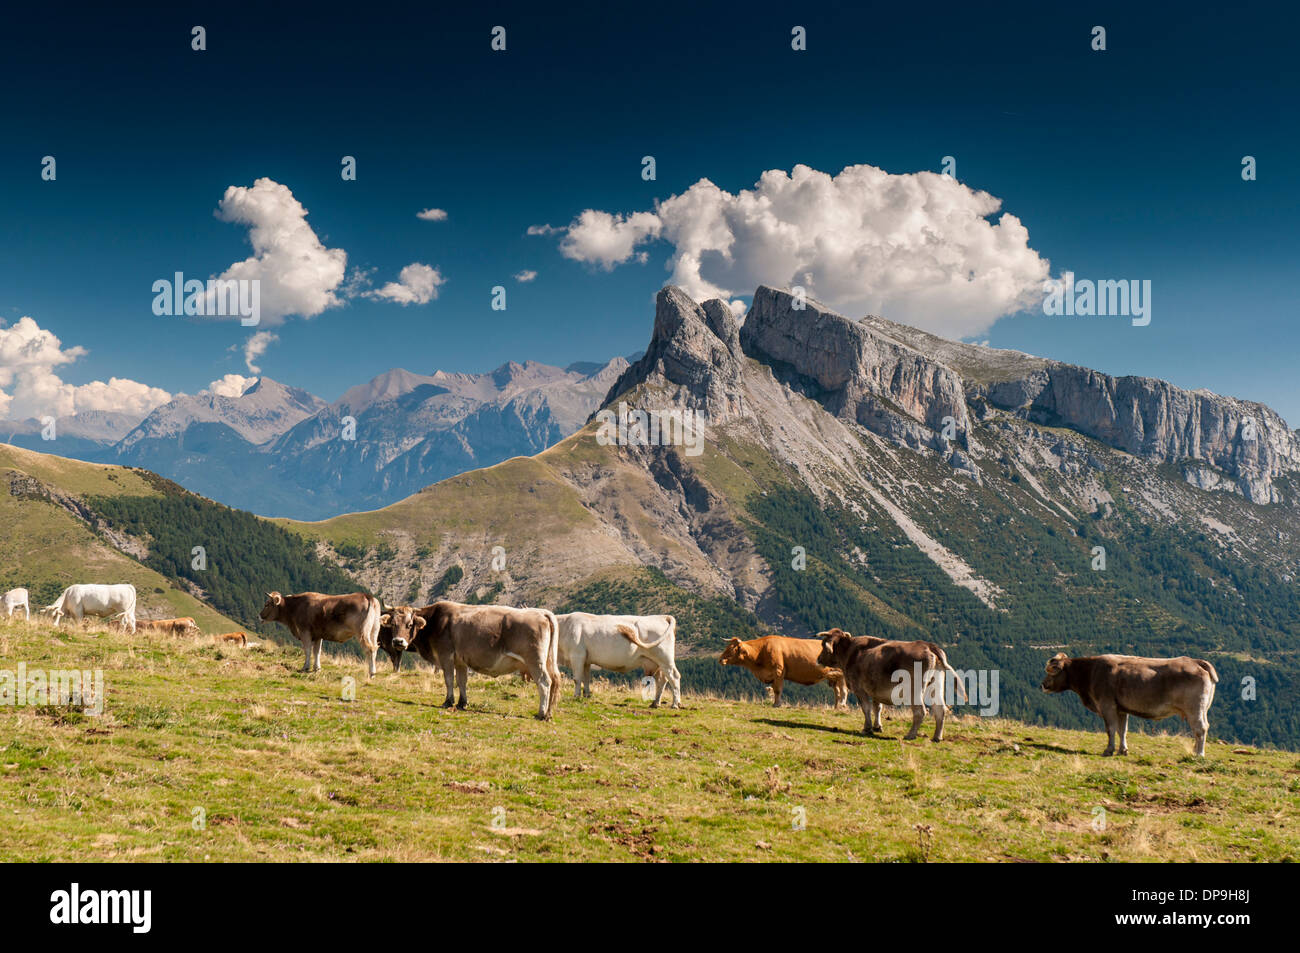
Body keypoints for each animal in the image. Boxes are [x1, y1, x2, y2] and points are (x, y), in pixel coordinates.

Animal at [416, 598, 559, 717]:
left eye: (410, 623)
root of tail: (542, 612)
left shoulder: (446, 655)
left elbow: (449, 679)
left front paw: (448, 702)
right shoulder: (460, 661)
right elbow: (461, 680)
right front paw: (462, 703)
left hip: (535, 661)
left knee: (544, 682)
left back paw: (541, 713)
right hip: (548, 661)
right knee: (554, 680)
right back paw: (549, 713)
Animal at [556, 608, 686, 707]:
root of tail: (662, 616)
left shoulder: (577, 656)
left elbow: (577, 679)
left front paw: (576, 696)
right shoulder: (586, 660)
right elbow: (586, 678)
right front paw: (586, 695)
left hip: (665, 658)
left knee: (674, 676)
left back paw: (675, 704)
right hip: (656, 662)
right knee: (662, 679)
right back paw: (655, 703)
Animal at [717, 631, 847, 707]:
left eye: (732, 648)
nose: (720, 659)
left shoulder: (778, 671)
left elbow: (778, 690)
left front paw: (777, 705)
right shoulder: (771, 675)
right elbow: (774, 689)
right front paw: (775, 703)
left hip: (841, 674)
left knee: (843, 690)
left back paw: (842, 705)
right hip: (832, 677)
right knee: (837, 691)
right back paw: (836, 707)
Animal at [816, 629, 961, 738]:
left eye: (823, 645)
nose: (818, 659)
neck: (850, 652)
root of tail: (928, 645)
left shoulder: (859, 688)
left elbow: (866, 708)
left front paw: (867, 728)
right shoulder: (875, 689)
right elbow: (877, 707)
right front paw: (877, 727)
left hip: (914, 690)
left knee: (920, 711)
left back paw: (910, 735)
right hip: (936, 685)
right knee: (940, 709)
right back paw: (937, 737)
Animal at [1034, 650, 1216, 754]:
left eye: (1052, 671)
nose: (1042, 684)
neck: (1091, 671)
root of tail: (1195, 661)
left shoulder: (1107, 705)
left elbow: (1110, 729)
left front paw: (1109, 750)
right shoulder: (1121, 708)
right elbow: (1122, 730)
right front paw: (1123, 750)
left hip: (1195, 709)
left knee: (1200, 728)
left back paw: (1199, 754)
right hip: (1203, 709)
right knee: (1201, 728)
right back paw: (1194, 751)